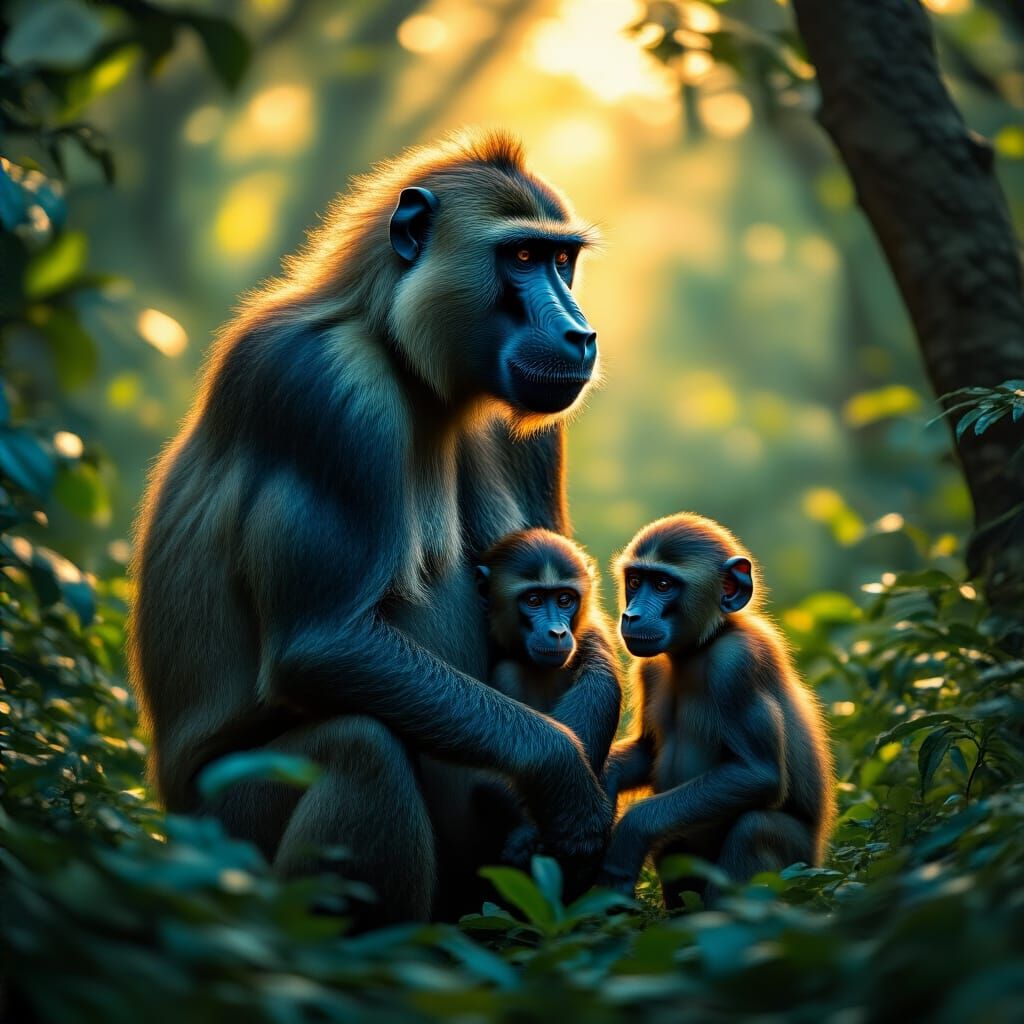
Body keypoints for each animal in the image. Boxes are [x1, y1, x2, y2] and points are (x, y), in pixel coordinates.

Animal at [597, 513, 835, 907]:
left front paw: (628, 833)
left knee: (755, 829)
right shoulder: (650, 668)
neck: (700, 648)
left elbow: (759, 773)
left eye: (663, 584)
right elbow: (648, 751)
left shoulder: (737, 662)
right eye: (634, 582)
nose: (631, 615)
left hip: (802, 868)